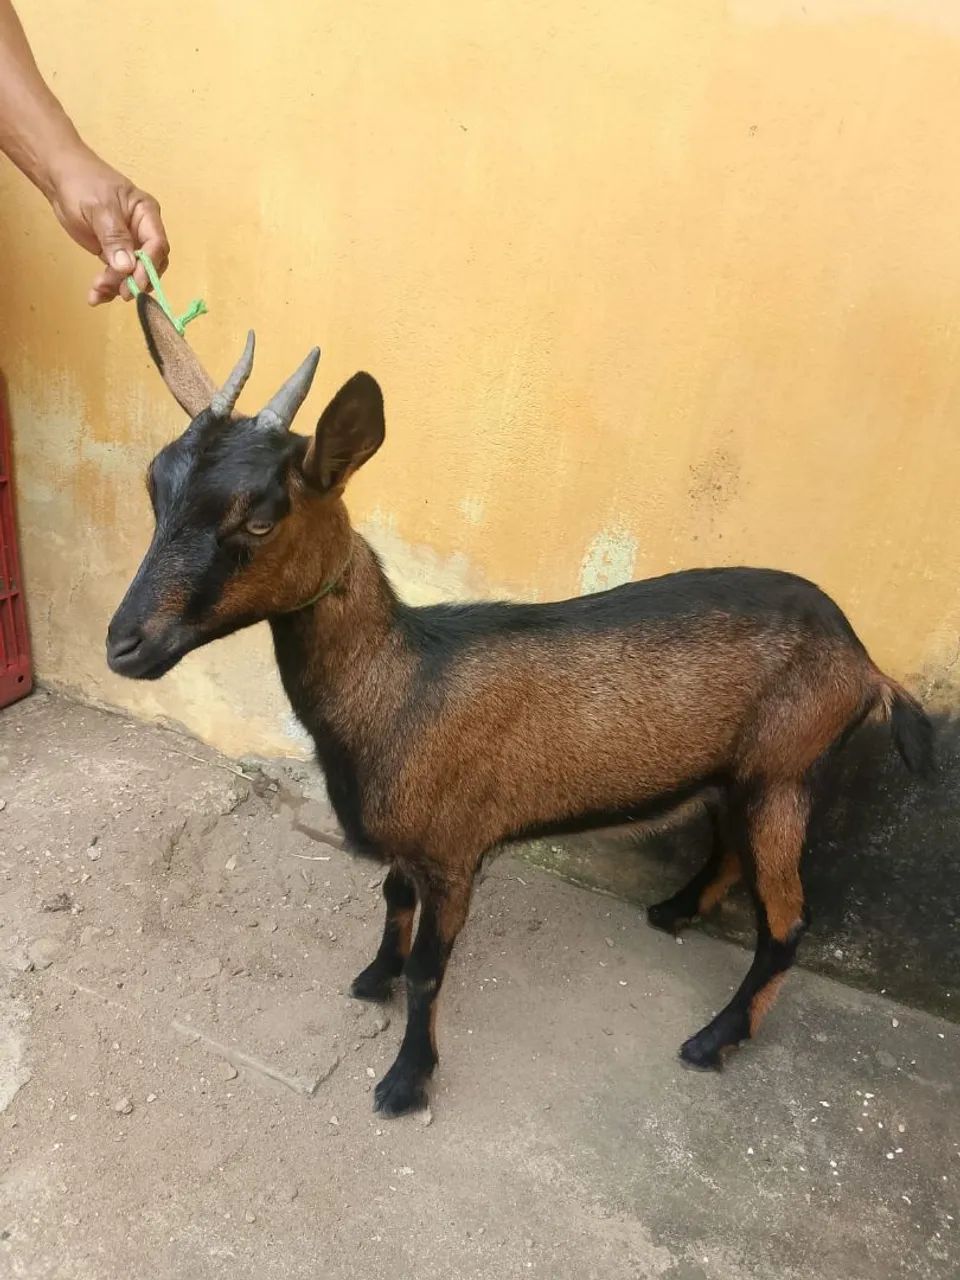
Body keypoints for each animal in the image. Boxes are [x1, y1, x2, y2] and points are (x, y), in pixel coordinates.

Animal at [107, 296, 933, 1116]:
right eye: (154, 488)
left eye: (259, 518)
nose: (123, 644)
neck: (402, 687)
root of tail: (866, 664)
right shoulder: (414, 842)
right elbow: (391, 900)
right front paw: (372, 978)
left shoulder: (454, 849)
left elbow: (429, 972)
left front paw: (406, 1080)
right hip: (742, 774)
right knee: (731, 851)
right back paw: (673, 913)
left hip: (785, 772)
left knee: (787, 924)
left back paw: (712, 1040)